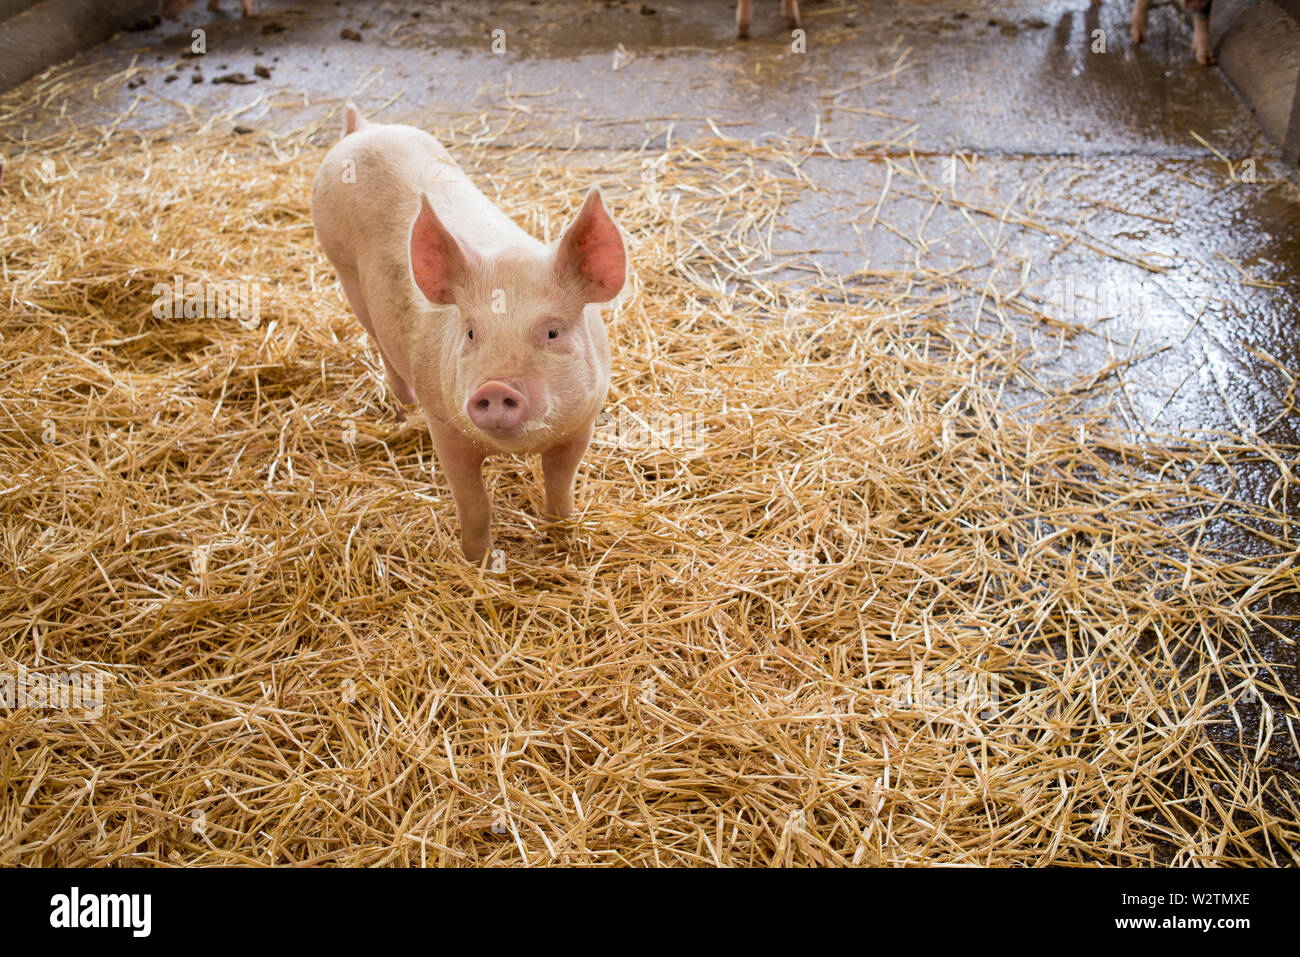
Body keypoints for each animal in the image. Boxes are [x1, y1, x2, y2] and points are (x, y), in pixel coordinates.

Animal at [309, 108, 624, 564]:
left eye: (552, 331)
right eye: (472, 331)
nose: (495, 386)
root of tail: (363, 129)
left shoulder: (584, 421)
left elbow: (560, 482)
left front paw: (565, 537)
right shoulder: (445, 427)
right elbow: (473, 501)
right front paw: (479, 562)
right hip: (343, 267)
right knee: (380, 344)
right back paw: (404, 409)